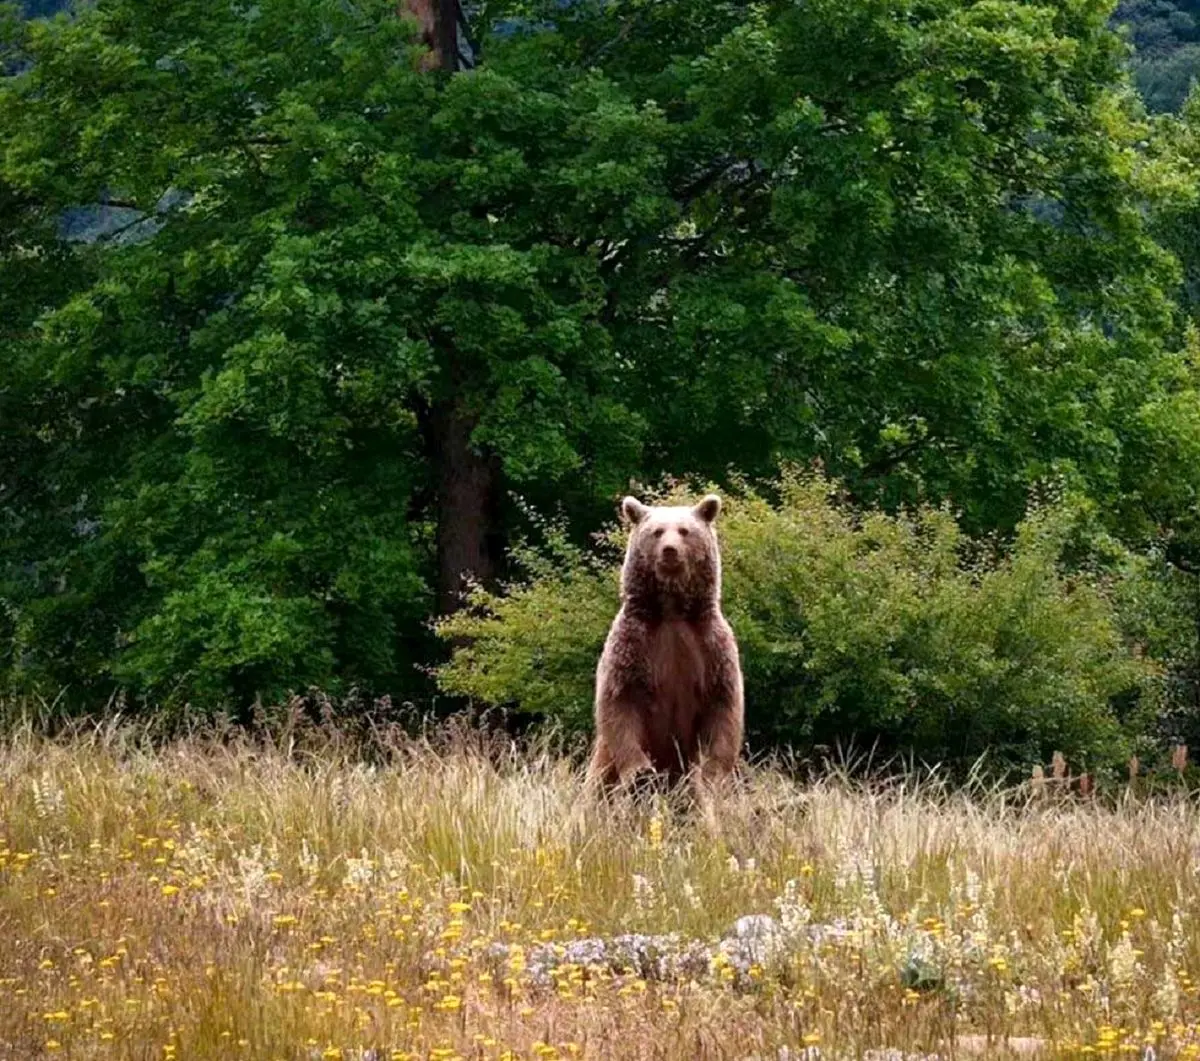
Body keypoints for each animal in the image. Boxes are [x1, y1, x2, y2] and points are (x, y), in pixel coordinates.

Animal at [583, 492, 739, 801]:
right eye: (656, 531)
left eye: (684, 530)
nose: (669, 550)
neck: (672, 611)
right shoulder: (632, 644)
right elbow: (618, 703)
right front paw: (640, 771)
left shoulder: (711, 647)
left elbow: (723, 707)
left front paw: (714, 772)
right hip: (602, 768)